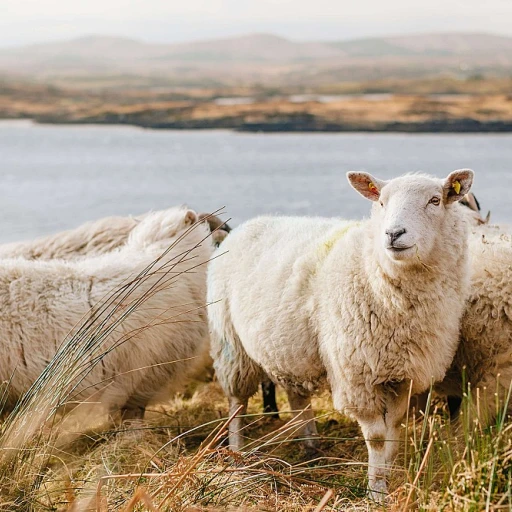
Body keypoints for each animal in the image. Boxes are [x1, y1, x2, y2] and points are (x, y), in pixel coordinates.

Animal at [208, 170, 476, 498]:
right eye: (381, 201)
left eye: (435, 200)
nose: (393, 234)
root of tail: (245, 226)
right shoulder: (358, 375)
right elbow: (376, 437)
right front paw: (376, 490)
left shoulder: (403, 375)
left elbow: (394, 428)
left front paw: (388, 474)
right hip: (230, 343)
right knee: (237, 402)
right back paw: (237, 454)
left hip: (289, 348)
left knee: (297, 396)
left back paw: (311, 447)